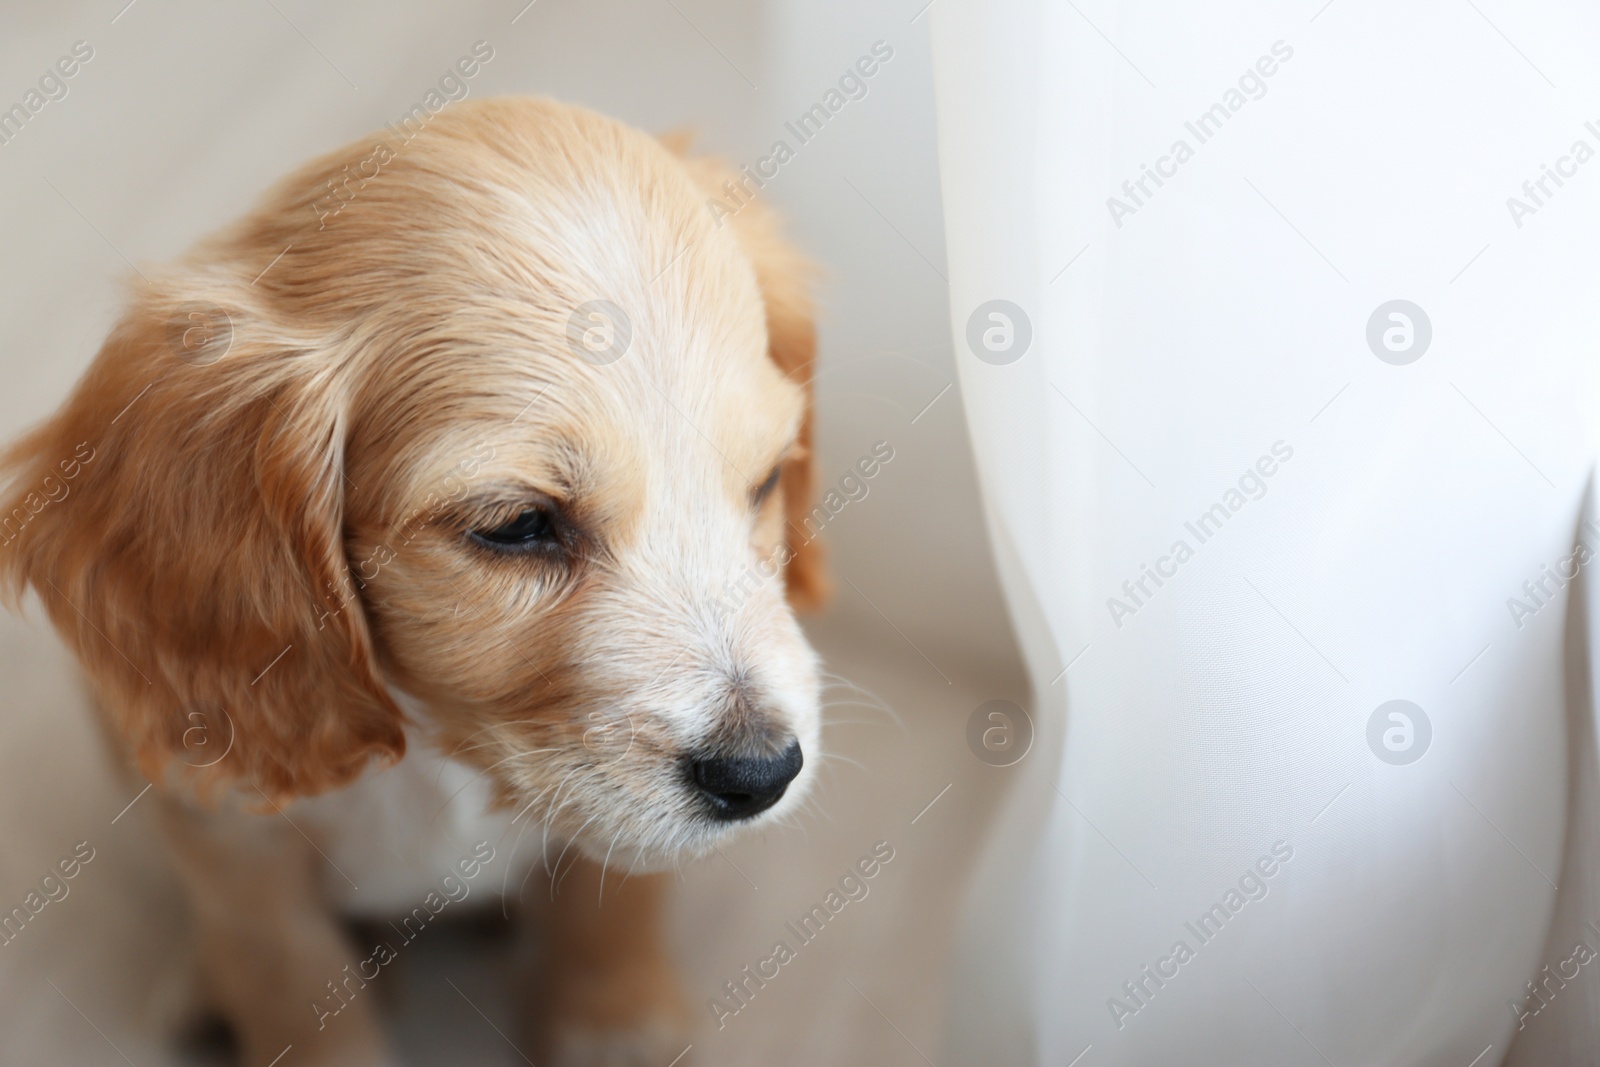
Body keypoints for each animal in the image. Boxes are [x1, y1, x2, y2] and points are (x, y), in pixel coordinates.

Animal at [0, 95, 825, 1062]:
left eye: (765, 482)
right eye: (516, 526)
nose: (761, 773)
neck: (443, 747)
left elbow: (614, 906)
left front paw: (618, 1023)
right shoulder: (235, 841)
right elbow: (292, 982)